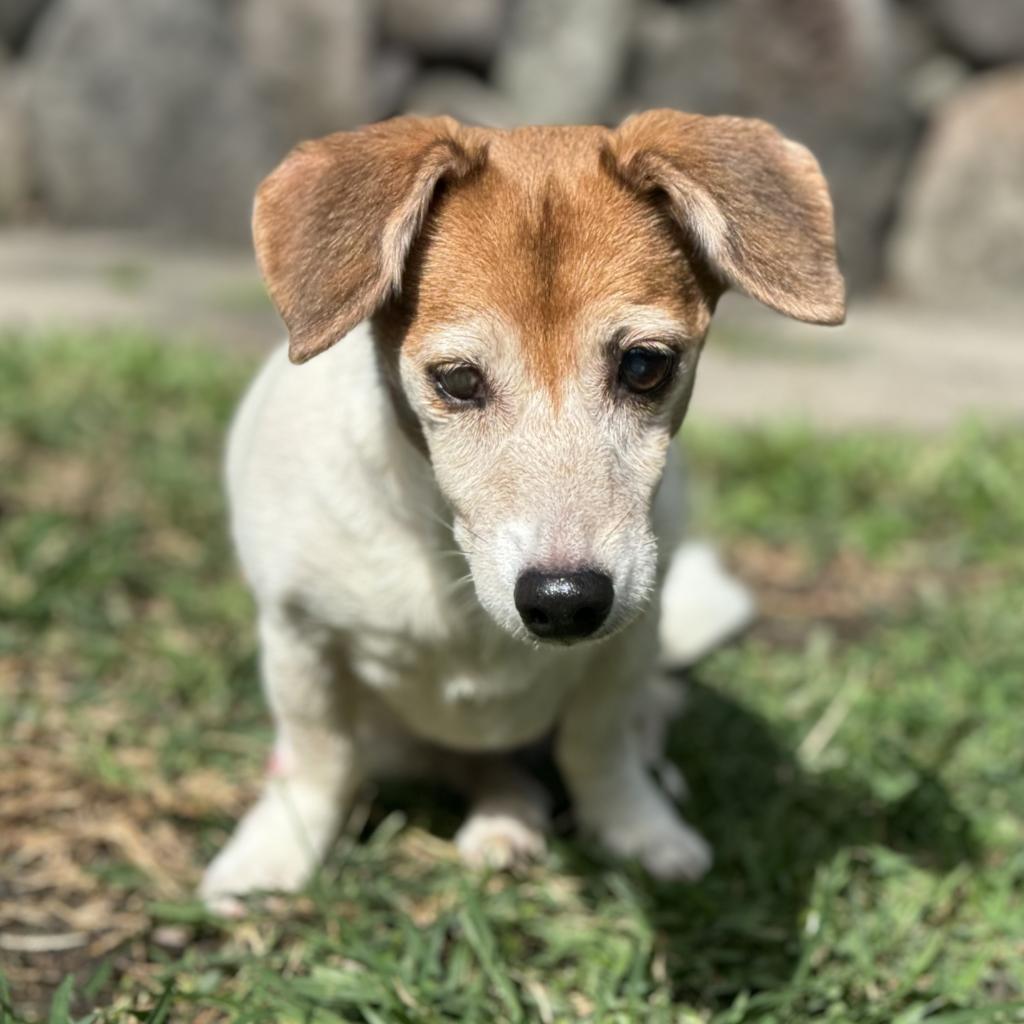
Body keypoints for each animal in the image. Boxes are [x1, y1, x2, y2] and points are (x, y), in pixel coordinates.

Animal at [197, 110, 839, 913]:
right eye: (457, 379)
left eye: (644, 365)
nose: (565, 600)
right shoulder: (299, 638)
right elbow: (319, 755)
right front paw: (277, 850)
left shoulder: (629, 644)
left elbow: (598, 744)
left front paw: (636, 826)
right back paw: (504, 823)